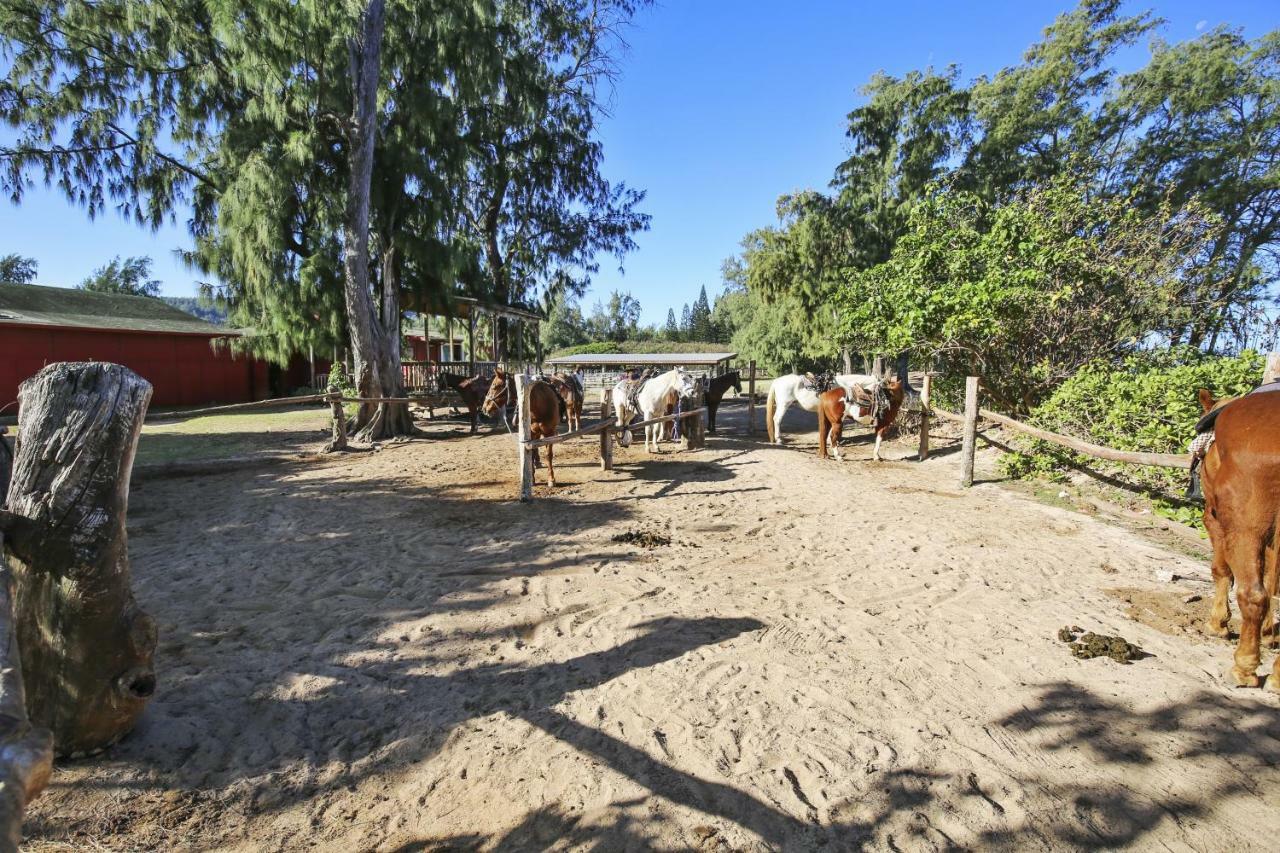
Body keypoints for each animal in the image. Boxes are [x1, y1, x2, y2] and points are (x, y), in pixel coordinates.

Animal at [1187, 384, 1280, 686]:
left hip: (1244, 527)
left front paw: (1218, 623)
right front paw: (1268, 633)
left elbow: (1221, 569)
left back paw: (1244, 666)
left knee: (1253, 594)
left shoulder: (1215, 518)